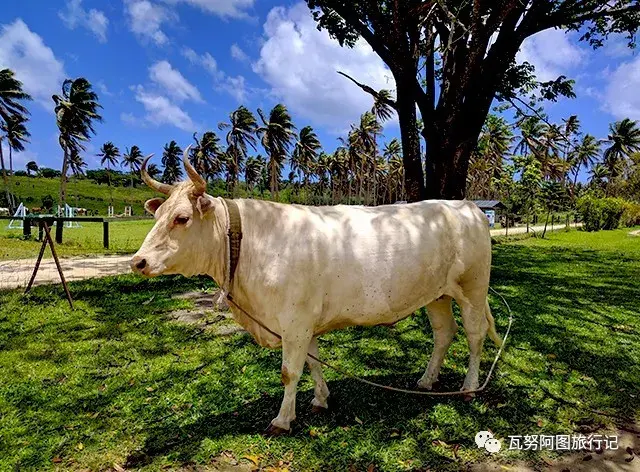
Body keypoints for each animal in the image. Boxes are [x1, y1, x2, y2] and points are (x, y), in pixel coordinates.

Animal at [130, 151, 500, 436]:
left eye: (182, 218)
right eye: (157, 214)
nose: (138, 261)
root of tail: (468, 206)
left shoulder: (294, 320)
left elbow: (289, 371)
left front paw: (282, 420)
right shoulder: (303, 321)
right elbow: (312, 362)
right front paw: (320, 400)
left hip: (472, 289)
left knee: (475, 335)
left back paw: (468, 388)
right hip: (437, 294)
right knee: (444, 333)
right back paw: (426, 380)